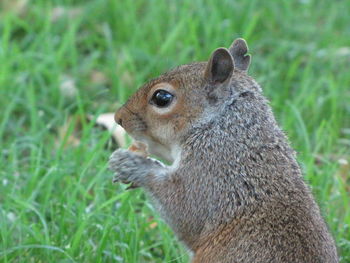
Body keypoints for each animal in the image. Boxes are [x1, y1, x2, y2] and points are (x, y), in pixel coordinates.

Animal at [108, 38, 338, 262]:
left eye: (161, 98)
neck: (224, 127)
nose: (119, 118)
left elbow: (185, 211)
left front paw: (132, 165)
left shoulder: (211, 171)